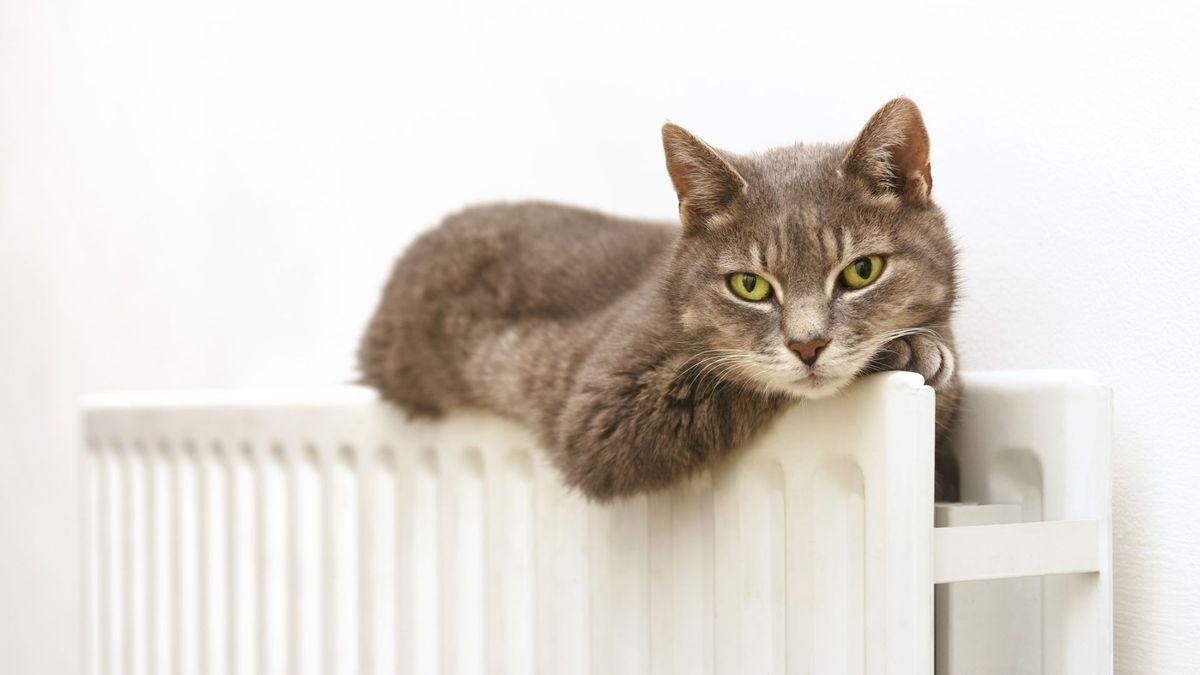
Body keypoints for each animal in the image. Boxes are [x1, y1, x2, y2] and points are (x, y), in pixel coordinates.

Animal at [360, 98, 960, 499]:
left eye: (861, 271)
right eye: (749, 285)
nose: (807, 345)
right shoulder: (603, 408)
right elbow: (737, 379)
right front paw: (910, 351)